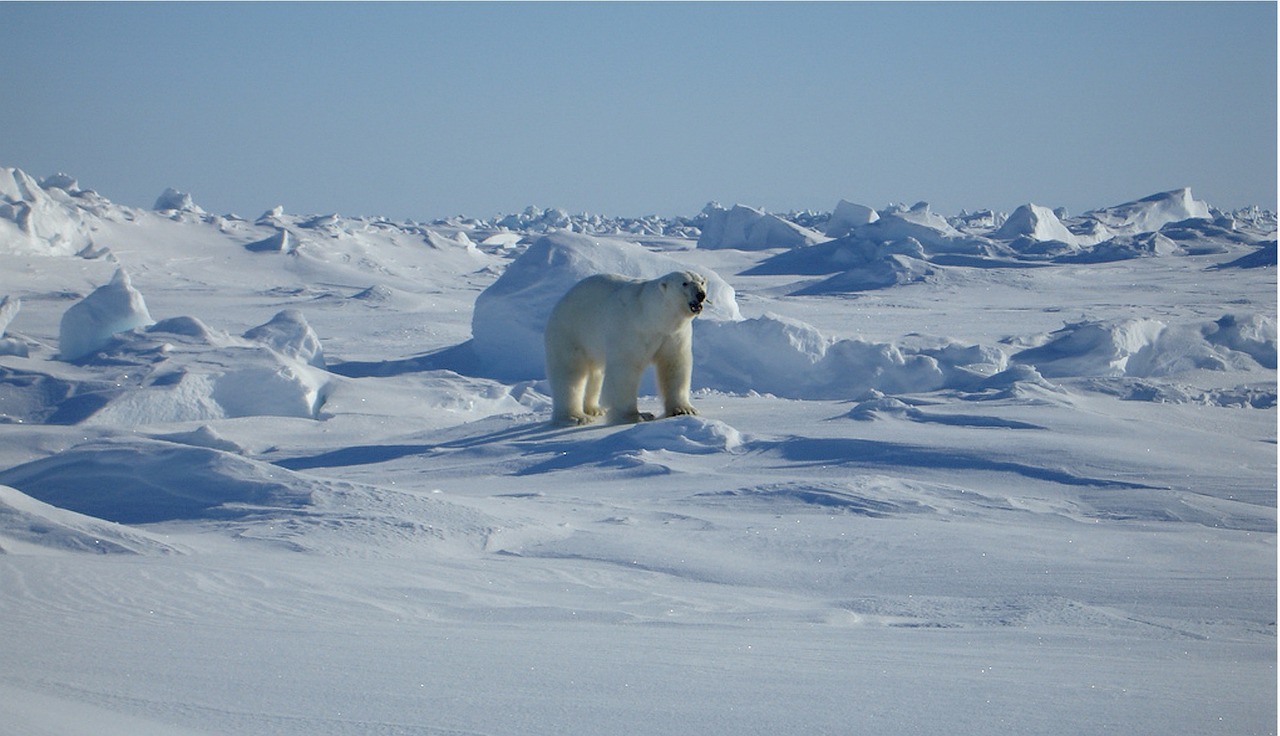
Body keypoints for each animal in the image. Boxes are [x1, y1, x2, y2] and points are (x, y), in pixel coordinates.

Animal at [542, 272, 711, 424]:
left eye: (702, 282)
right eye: (684, 283)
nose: (701, 295)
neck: (651, 316)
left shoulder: (674, 335)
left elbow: (674, 365)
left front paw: (684, 410)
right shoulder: (630, 329)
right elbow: (624, 370)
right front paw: (634, 416)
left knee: (595, 373)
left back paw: (595, 409)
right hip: (570, 332)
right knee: (570, 373)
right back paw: (576, 416)